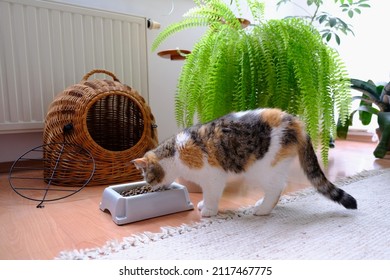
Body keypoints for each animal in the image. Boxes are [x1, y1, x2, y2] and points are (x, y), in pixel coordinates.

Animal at [133, 107, 358, 217]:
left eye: (147, 177)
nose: (150, 187)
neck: (175, 152)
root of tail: (297, 122)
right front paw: (205, 205)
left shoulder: (213, 177)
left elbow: (212, 195)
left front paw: (209, 211)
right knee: (279, 187)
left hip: (263, 168)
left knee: (277, 187)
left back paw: (262, 210)